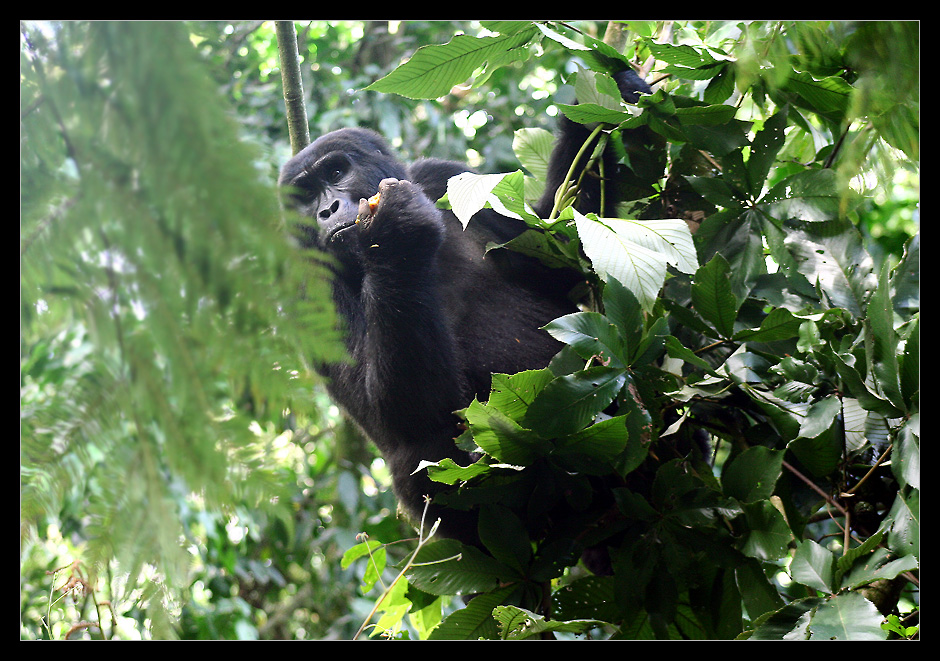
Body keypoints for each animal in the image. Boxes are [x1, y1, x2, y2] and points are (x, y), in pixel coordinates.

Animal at [280, 69, 652, 544]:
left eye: (337, 170)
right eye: (305, 194)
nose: (327, 209)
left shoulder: (446, 177)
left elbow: (559, 252)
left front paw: (605, 103)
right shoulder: (303, 278)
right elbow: (394, 412)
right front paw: (397, 237)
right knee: (422, 454)